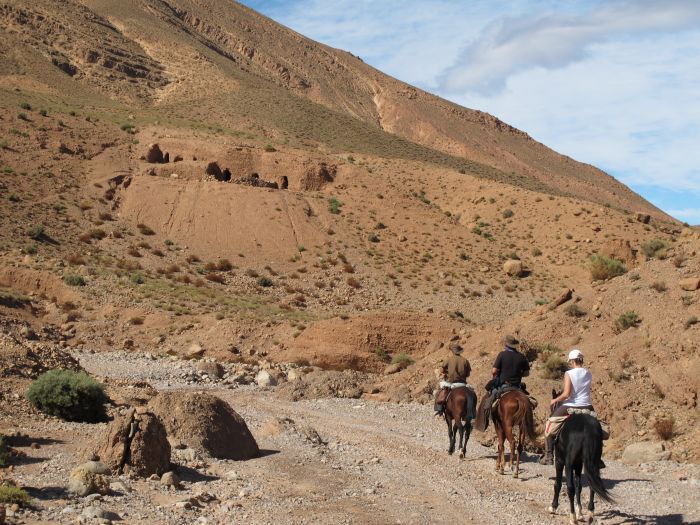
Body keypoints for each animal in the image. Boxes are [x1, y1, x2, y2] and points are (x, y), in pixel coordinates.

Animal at [548, 390, 612, 520]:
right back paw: (590, 511)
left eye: (553, 406)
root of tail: (587, 427)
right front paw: (580, 511)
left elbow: (558, 484)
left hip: (568, 464)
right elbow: (579, 486)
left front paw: (554, 507)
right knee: (593, 485)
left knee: (570, 487)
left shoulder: (560, 461)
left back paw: (572, 517)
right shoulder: (578, 464)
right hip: (593, 463)